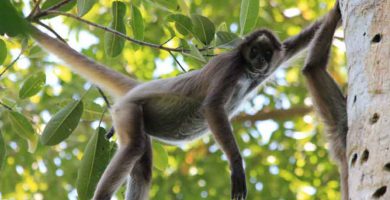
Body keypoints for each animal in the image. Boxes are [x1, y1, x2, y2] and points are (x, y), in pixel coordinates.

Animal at [26, 5, 338, 198]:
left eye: (266, 53)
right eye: (254, 52)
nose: (260, 61)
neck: (247, 72)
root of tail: (138, 88)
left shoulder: (274, 58)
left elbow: (299, 42)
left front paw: (335, 12)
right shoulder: (232, 67)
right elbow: (213, 107)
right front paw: (237, 167)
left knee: (142, 165)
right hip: (128, 109)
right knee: (134, 148)